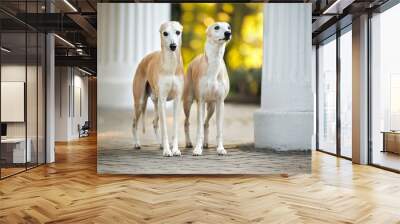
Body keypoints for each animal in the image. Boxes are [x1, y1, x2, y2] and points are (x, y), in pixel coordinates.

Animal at [133, 21, 186, 157]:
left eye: (178, 32)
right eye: (165, 33)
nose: (173, 46)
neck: (171, 66)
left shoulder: (177, 100)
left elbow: (174, 128)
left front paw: (175, 149)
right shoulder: (163, 99)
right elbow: (165, 129)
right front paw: (167, 151)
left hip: (156, 103)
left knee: (154, 122)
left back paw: (161, 144)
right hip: (140, 102)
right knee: (135, 122)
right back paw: (137, 143)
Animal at [182, 22, 230, 156]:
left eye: (228, 27)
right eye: (216, 27)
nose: (228, 33)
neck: (214, 64)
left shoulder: (220, 102)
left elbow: (219, 129)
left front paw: (220, 149)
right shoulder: (201, 101)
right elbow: (198, 130)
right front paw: (197, 149)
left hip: (211, 106)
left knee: (206, 123)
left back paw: (206, 144)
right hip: (188, 102)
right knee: (186, 122)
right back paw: (189, 143)